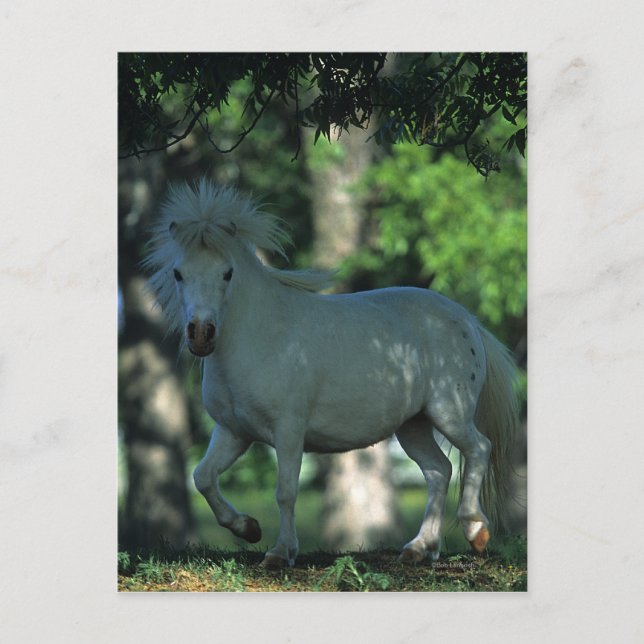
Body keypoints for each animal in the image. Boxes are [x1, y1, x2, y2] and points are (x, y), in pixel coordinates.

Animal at [144, 178, 521, 569]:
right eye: (178, 273)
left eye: (227, 273)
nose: (201, 335)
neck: (261, 334)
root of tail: (467, 320)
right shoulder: (233, 432)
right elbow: (202, 477)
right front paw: (248, 529)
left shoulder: (288, 430)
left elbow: (285, 491)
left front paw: (280, 553)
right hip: (413, 425)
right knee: (438, 471)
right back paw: (418, 548)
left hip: (449, 413)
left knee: (478, 449)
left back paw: (475, 531)